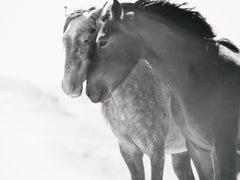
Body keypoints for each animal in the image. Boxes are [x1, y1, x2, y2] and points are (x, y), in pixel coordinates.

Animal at [60, 2, 195, 180]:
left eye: (87, 40)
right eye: (64, 40)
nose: (68, 86)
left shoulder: (156, 152)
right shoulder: (129, 151)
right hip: (182, 155)